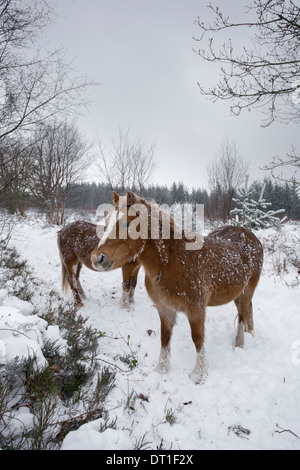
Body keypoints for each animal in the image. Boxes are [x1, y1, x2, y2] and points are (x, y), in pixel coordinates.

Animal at [91, 193, 262, 384]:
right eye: (106, 223)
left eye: (127, 224)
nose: (97, 258)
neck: (173, 261)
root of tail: (251, 237)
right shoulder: (164, 308)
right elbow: (165, 337)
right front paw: (162, 369)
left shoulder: (196, 310)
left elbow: (198, 339)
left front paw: (199, 373)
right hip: (237, 292)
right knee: (245, 311)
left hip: (249, 289)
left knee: (242, 314)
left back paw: (239, 344)